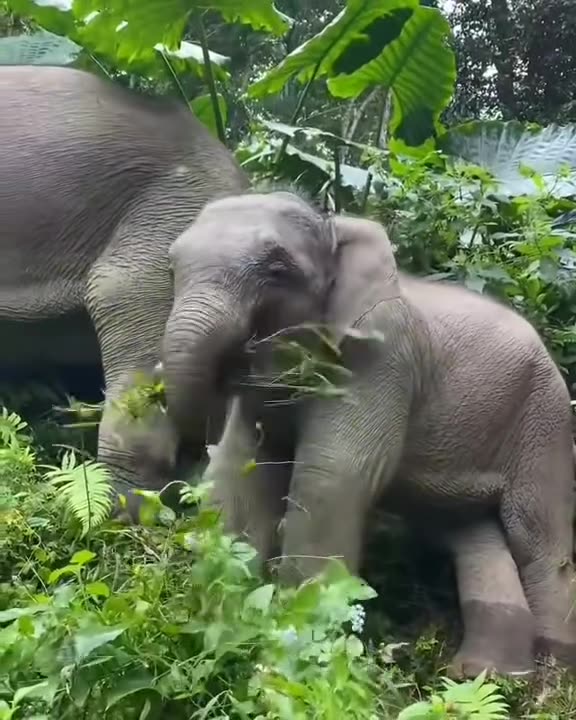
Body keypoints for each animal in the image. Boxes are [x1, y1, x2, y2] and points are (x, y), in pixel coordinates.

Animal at [161, 189, 576, 679]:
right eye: (172, 267)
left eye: (278, 270)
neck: (335, 226)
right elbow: (242, 468)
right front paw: (228, 618)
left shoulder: (380, 358)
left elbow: (331, 476)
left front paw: (298, 641)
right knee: (474, 532)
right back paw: (481, 676)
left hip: (543, 420)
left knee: (537, 539)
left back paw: (551, 670)